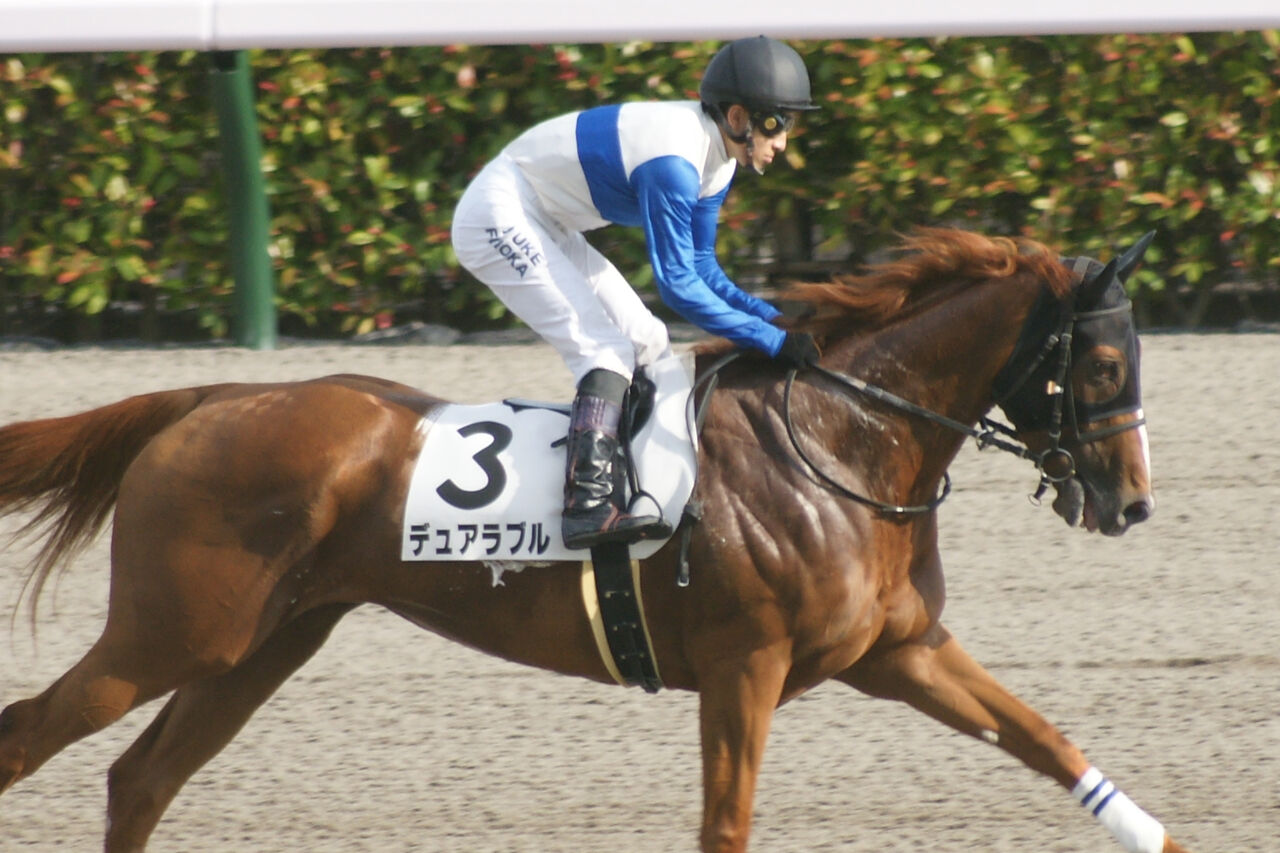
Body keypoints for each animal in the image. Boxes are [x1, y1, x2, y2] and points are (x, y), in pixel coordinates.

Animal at [0, 228, 1186, 853]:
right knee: (32, 736)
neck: (837, 441)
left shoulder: (900, 650)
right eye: (1099, 367)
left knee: (141, 777)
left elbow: (1045, 739)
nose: (1130, 502)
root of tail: (208, 397)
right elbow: (725, 822)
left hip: (262, 643)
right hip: (173, 632)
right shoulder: (744, 666)